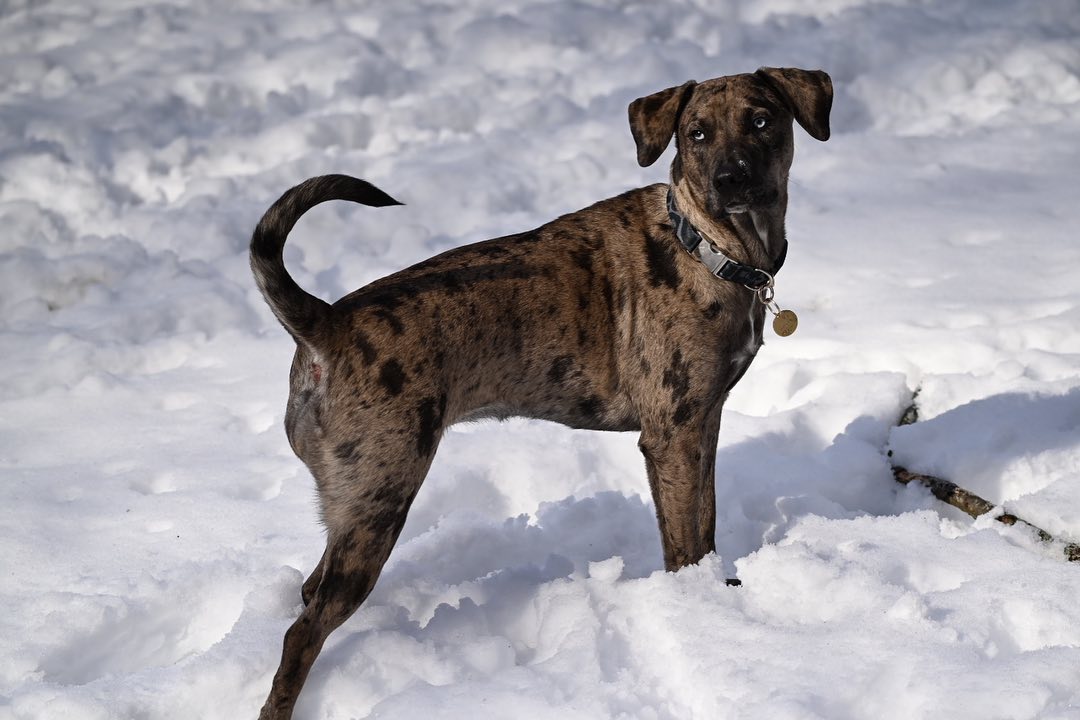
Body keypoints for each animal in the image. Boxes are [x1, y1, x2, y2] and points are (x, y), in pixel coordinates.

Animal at [248, 66, 829, 716]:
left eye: (762, 120)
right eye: (696, 133)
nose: (731, 179)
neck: (707, 247)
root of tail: (326, 322)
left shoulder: (703, 422)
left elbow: (704, 525)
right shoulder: (673, 433)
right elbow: (683, 542)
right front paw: (699, 615)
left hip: (352, 503)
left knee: (308, 593)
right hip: (379, 497)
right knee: (303, 632)